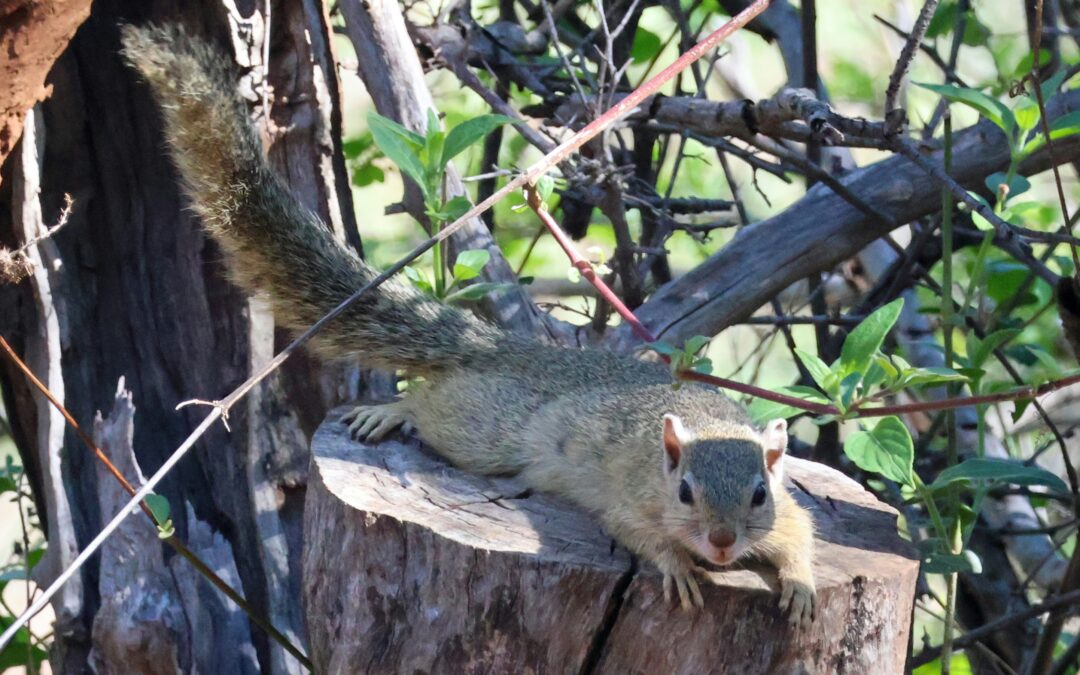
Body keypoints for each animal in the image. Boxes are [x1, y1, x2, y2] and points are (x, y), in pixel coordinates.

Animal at [120, 24, 817, 626]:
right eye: (685, 493)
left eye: (760, 494)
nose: (722, 542)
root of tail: (510, 350)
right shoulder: (631, 499)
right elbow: (637, 532)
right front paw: (676, 566)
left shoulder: (785, 513)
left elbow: (803, 532)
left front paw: (803, 584)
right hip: (486, 427)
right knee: (436, 404)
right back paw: (392, 412)